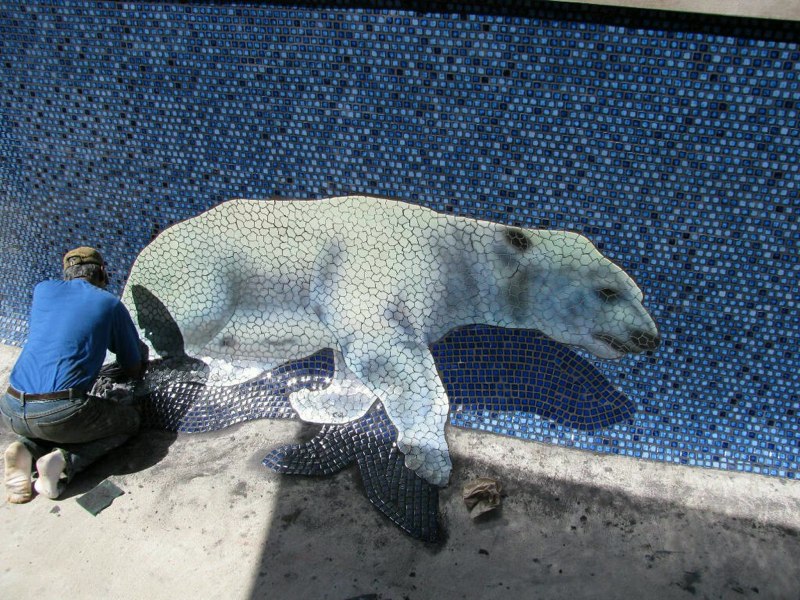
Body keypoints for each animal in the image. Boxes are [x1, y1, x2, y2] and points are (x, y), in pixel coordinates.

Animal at [123, 195, 660, 486]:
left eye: (638, 292)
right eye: (608, 290)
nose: (648, 336)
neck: (454, 256)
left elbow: (353, 362)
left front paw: (318, 400)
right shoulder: (379, 267)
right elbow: (389, 353)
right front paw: (429, 460)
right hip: (200, 271)